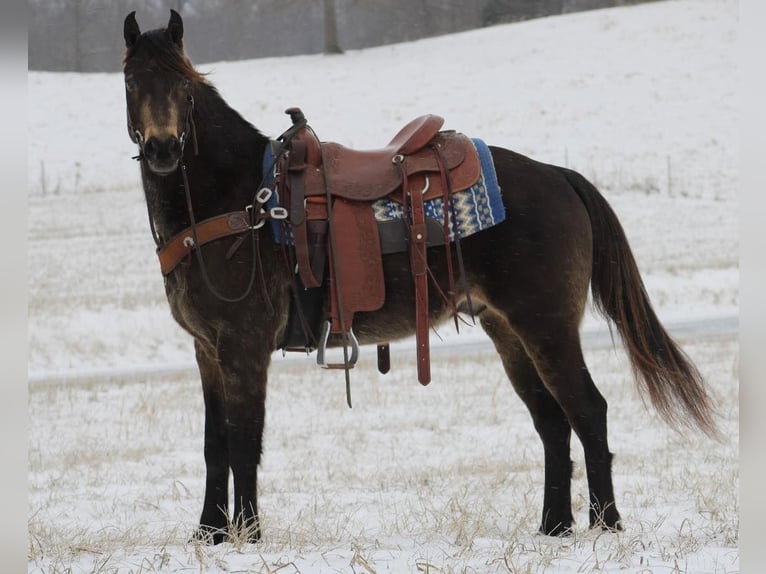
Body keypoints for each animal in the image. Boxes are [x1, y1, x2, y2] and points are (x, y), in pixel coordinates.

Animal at [121, 11, 720, 548]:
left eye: (183, 85)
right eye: (130, 80)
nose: (162, 148)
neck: (243, 201)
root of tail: (558, 176)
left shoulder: (244, 346)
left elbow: (244, 440)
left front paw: (247, 534)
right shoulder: (208, 350)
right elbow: (214, 443)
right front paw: (209, 533)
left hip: (547, 327)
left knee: (588, 412)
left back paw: (606, 525)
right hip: (509, 332)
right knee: (553, 423)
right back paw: (553, 527)